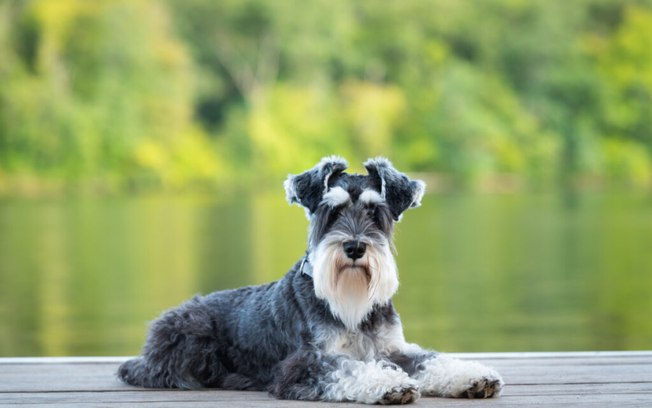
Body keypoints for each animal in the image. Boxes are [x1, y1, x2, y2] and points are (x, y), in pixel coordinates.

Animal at [118, 157, 504, 404]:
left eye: (375, 212)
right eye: (331, 212)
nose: (354, 247)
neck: (350, 304)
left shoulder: (392, 348)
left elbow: (431, 359)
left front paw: (472, 376)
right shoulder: (304, 363)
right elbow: (346, 367)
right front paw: (387, 383)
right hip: (191, 334)